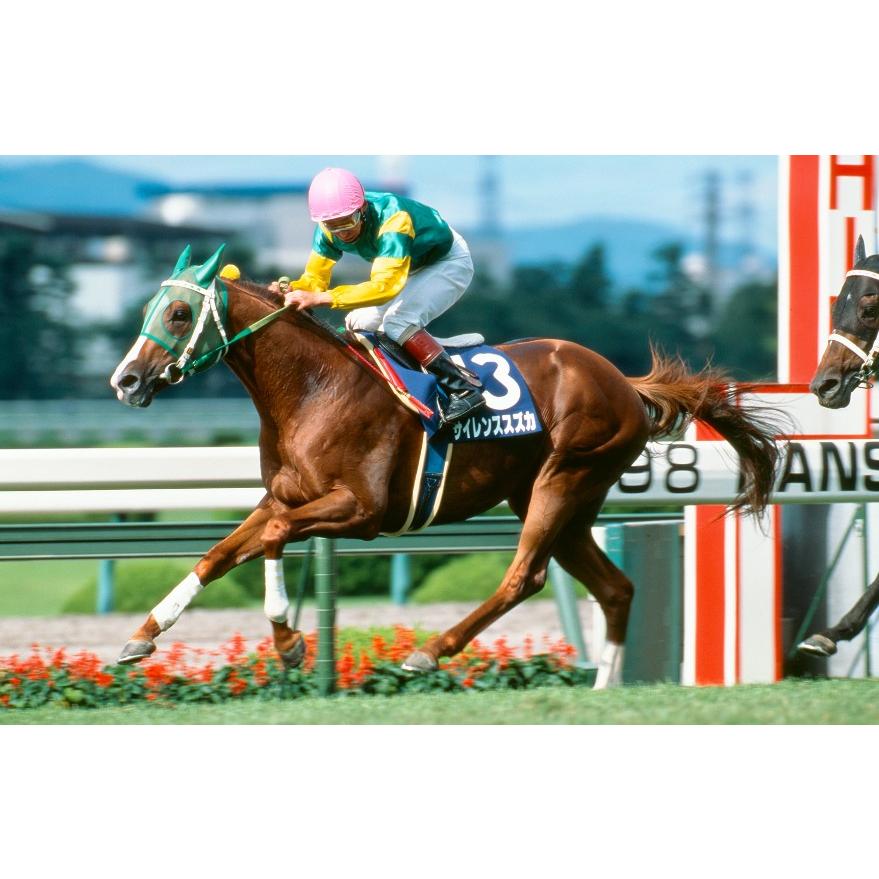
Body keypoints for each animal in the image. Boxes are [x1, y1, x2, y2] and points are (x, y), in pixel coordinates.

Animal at [110, 244, 781, 688]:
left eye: (177, 314)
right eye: (147, 308)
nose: (125, 380)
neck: (311, 389)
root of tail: (623, 381)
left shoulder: (359, 511)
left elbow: (272, 539)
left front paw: (289, 642)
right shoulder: (284, 498)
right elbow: (218, 555)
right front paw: (141, 637)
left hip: (564, 479)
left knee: (524, 576)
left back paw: (431, 651)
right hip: (561, 500)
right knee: (615, 588)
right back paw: (602, 689)